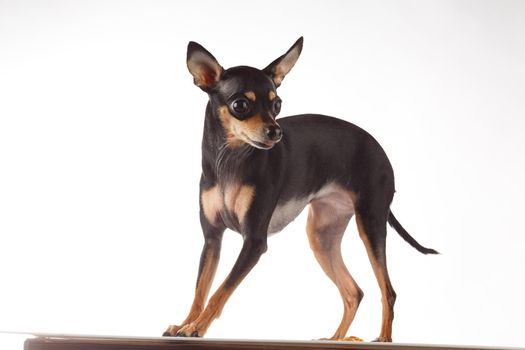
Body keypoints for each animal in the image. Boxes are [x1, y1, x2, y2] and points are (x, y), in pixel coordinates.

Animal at [162, 37, 436, 342]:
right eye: (240, 104)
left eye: (277, 104)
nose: (275, 132)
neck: (230, 161)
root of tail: (380, 150)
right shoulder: (212, 239)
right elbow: (200, 290)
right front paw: (186, 323)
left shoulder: (253, 242)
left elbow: (219, 292)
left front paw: (196, 327)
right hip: (322, 236)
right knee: (354, 292)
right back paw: (335, 339)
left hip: (370, 224)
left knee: (388, 291)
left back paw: (384, 338)